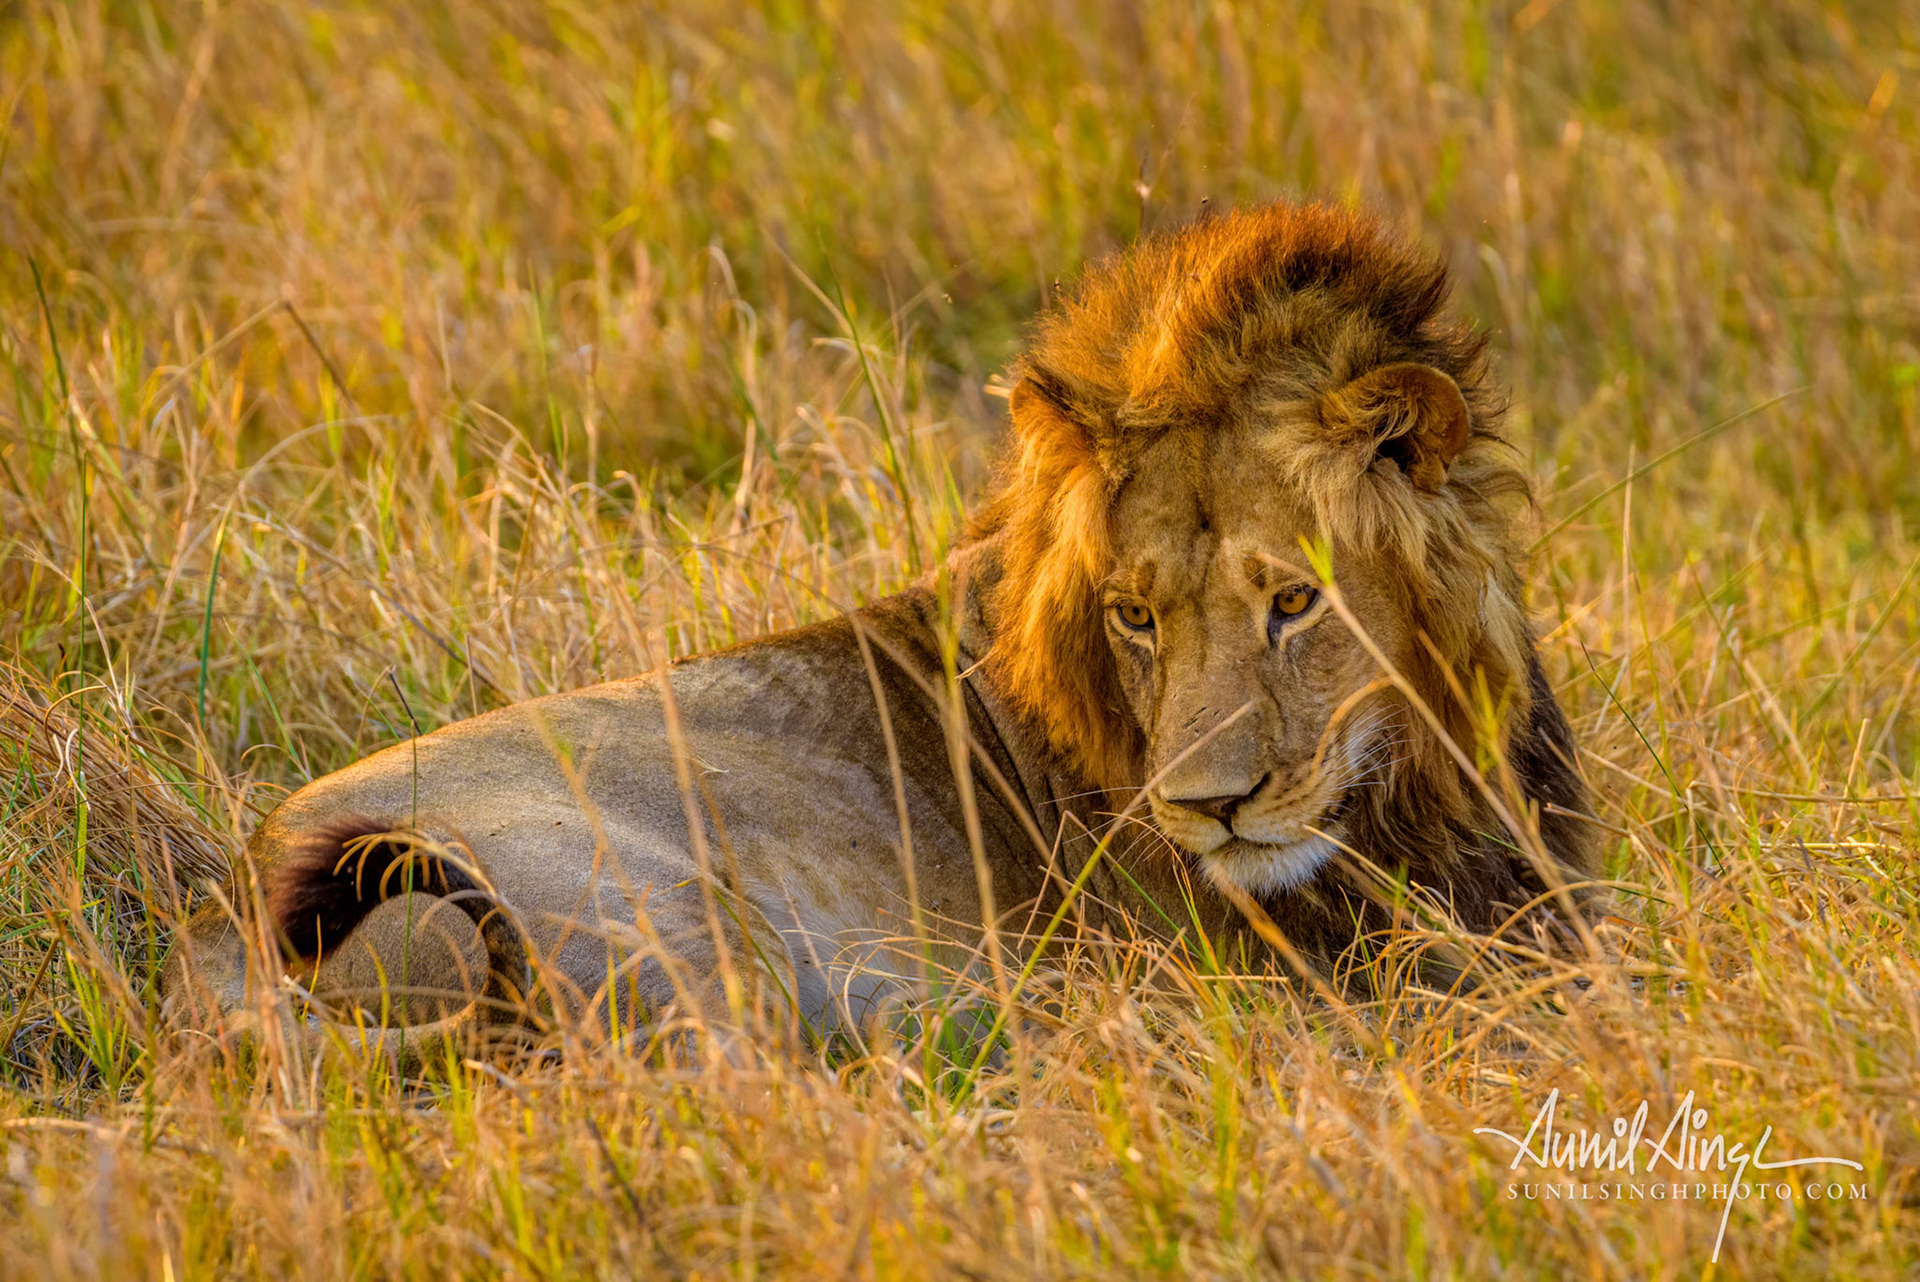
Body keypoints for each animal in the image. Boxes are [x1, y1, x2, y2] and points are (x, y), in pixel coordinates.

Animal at [163, 201, 1594, 1056]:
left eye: (1295, 601)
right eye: (1135, 616)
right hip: (676, 937)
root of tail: (224, 932)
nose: (1209, 810)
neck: (1421, 789)